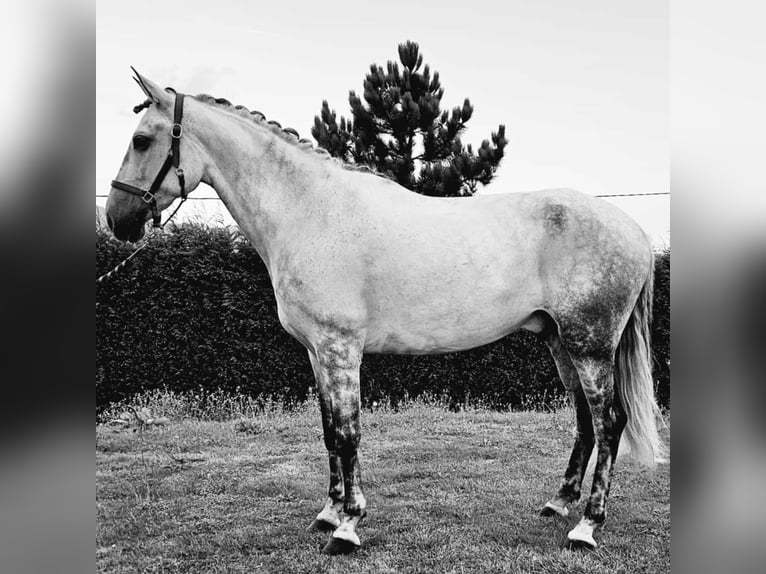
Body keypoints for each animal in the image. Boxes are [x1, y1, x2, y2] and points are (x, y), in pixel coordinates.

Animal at [103, 70, 664, 556]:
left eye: (142, 140)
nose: (117, 219)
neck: (311, 210)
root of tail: (634, 229)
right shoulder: (318, 353)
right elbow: (329, 430)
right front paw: (329, 513)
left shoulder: (339, 349)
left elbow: (348, 433)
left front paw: (347, 528)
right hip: (559, 340)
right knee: (586, 420)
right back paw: (559, 504)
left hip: (590, 343)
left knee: (610, 421)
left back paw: (587, 526)